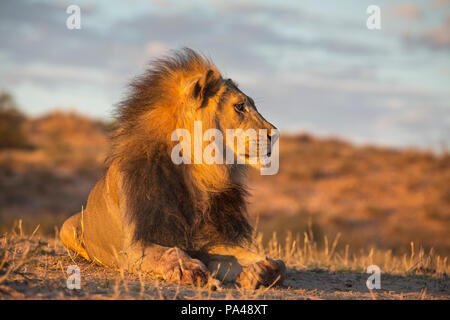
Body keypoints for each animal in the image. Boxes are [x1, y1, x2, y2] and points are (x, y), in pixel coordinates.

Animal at [60, 48, 284, 290]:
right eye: (240, 106)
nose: (275, 134)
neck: (196, 173)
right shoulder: (133, 247)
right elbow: (171, 251)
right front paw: (190, 269)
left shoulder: (207, 241)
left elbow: (260, 259)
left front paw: (257, 269)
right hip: (67, 227)